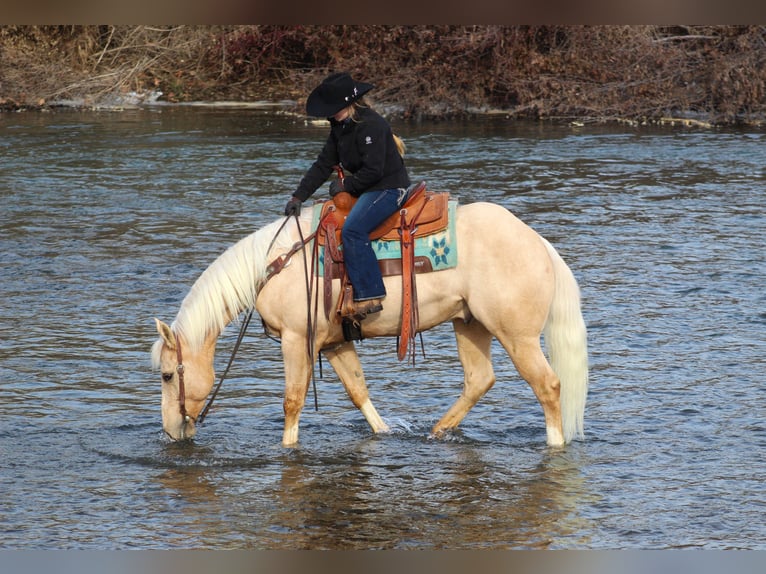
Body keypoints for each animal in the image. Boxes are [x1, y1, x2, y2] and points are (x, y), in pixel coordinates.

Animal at [153, 202, 592, 450]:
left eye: (167, 375)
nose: (172, 433)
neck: (275, 266)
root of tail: (537, 242)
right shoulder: (333, 343)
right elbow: (358, 391)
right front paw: (383, 434)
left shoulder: (297, 340)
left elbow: (292, 400)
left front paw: (287, 449)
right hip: (470, 324)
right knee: (479, 380)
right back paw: (435, 432)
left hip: (517, 336)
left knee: (548, 386)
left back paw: (554, 446)